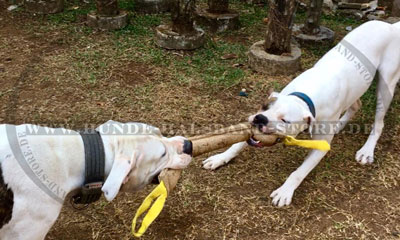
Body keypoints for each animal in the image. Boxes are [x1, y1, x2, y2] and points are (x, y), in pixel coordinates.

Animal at [205, 20, 398, 207]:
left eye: (285, 121)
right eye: (264, 107)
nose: (260, 119)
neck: (305, 98)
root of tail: (391, 26)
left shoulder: (320, 146)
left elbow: (298, 172)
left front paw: (285, 191)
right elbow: (236, 145)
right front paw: (221, 158)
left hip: (385, 87)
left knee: (379, 122)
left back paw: (367, 150)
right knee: (356, 105)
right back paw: (340, 126)